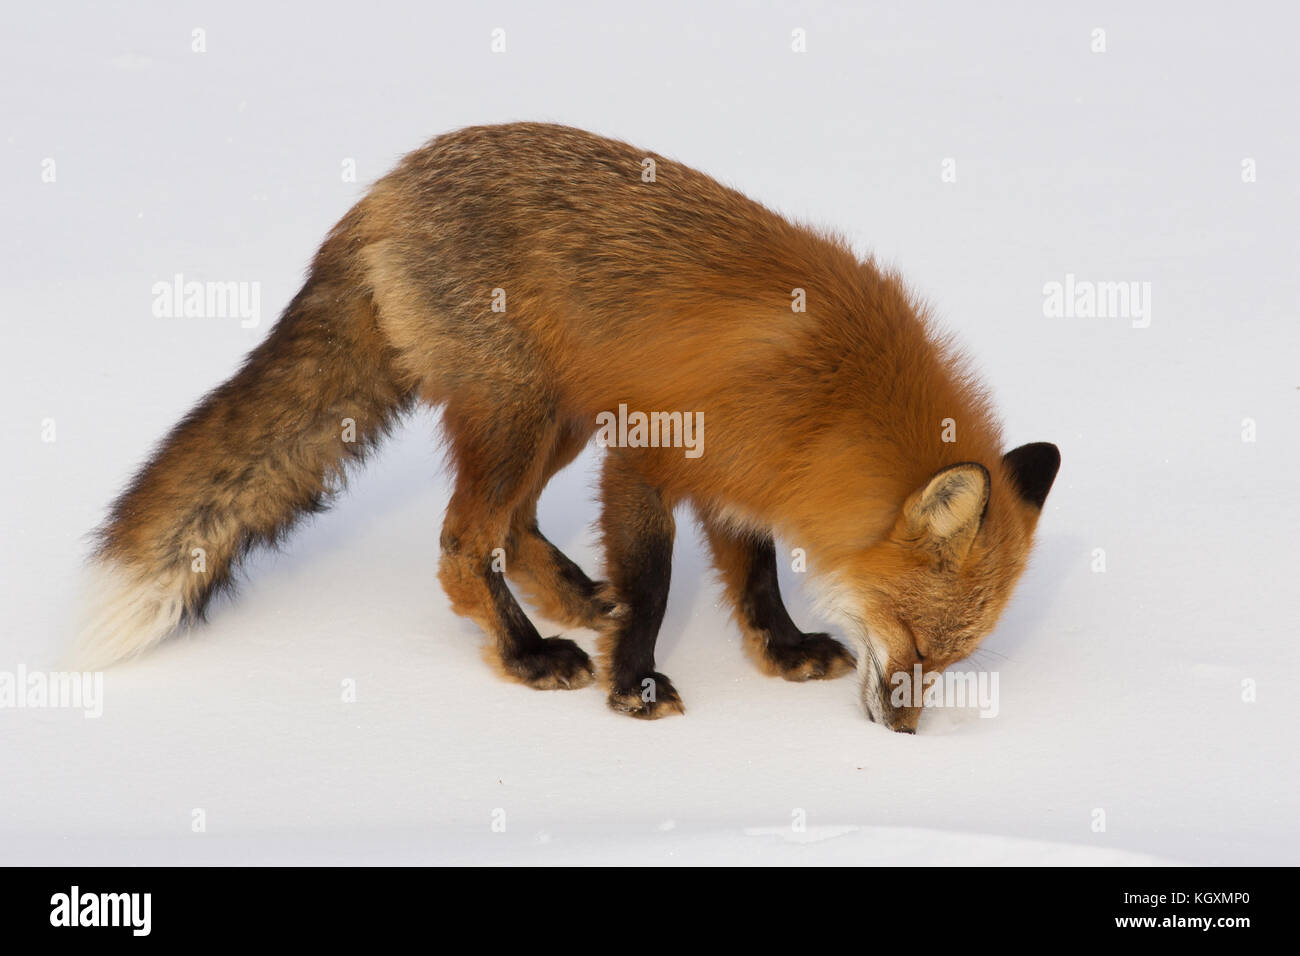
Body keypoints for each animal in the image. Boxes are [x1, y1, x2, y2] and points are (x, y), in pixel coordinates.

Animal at [73, 121, 1055, 733]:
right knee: (463, 544)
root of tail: (386, 186)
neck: (830, 392)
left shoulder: (740, 474)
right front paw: (636, 684)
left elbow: (755, 571)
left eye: (949, 660)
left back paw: (576, 601)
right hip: (521, 414)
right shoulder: (649, 455)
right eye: (918, 645)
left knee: (514, 524)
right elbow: (656, 584)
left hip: (561, 417)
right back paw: (528, 651)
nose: (905, 731)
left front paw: (778, 647)